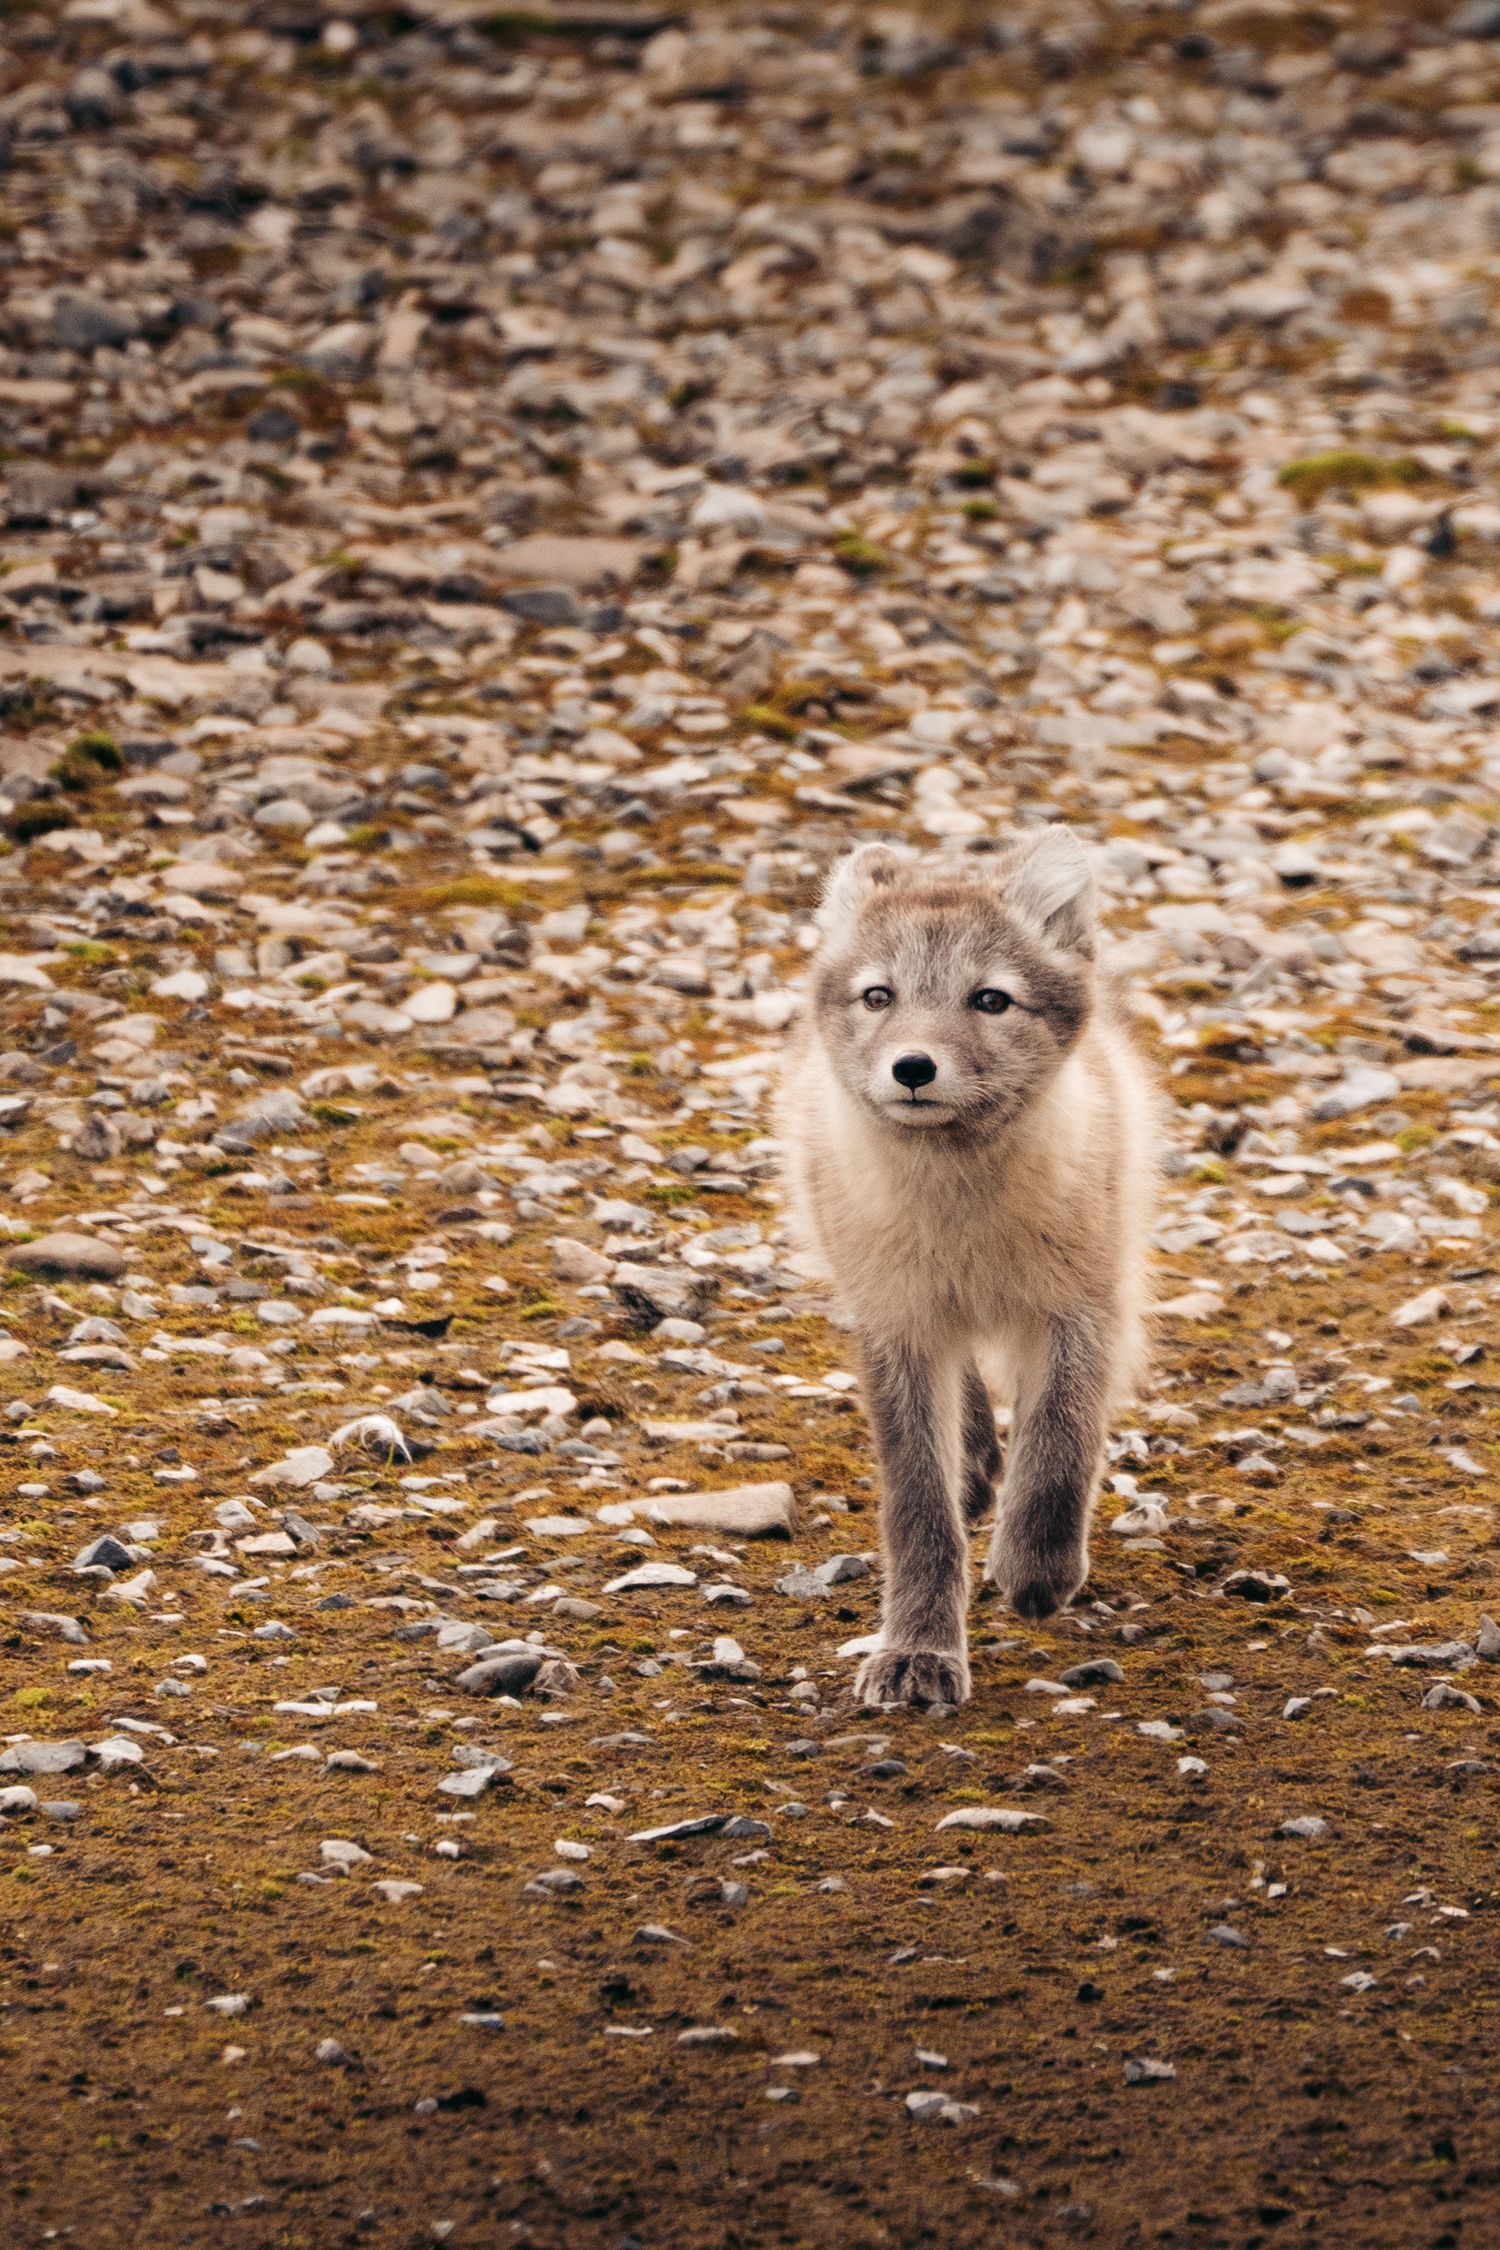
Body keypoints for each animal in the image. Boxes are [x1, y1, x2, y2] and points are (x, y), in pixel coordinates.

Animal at [777, 830, 1159, 1710]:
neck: (964, 1221)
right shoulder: (898, 1328)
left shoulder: (1083, 1307)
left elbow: (1060, 1442)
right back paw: (977, 1466)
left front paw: (1036, 1570)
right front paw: (917, 1652)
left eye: (990, 1000)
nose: (913, 1068)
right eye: (878, 996)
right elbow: (918, 1507)